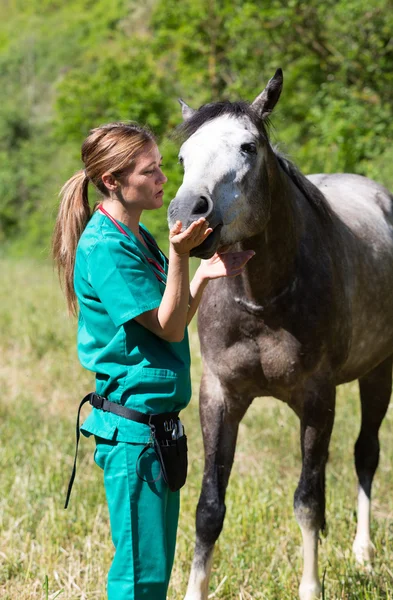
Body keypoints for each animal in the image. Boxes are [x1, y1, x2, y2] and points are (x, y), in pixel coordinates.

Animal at [166, 70, 392, 600]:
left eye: (248, 147)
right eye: (183, 156)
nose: (188, 213)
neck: (261, 299)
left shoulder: (317, 397)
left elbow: (306, 500)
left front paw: (311, 586)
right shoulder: (220, 395)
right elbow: (209, 507)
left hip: (379, 372)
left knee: (365, 455)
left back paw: (364, 552)